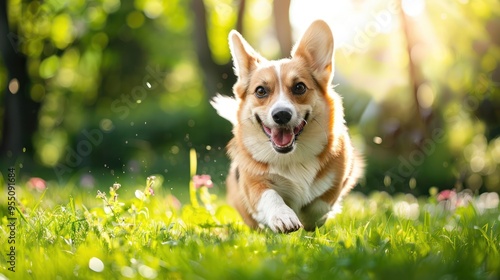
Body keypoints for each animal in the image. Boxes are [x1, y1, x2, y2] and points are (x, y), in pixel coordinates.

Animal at [211, 19, 364, 233]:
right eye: (261, 91)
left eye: (299, 87)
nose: (281, 115)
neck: (291, 158)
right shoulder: (254, 184)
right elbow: (270, 196)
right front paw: (283, 216)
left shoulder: (339, 179)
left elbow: (320, 204)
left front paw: (309, 219)